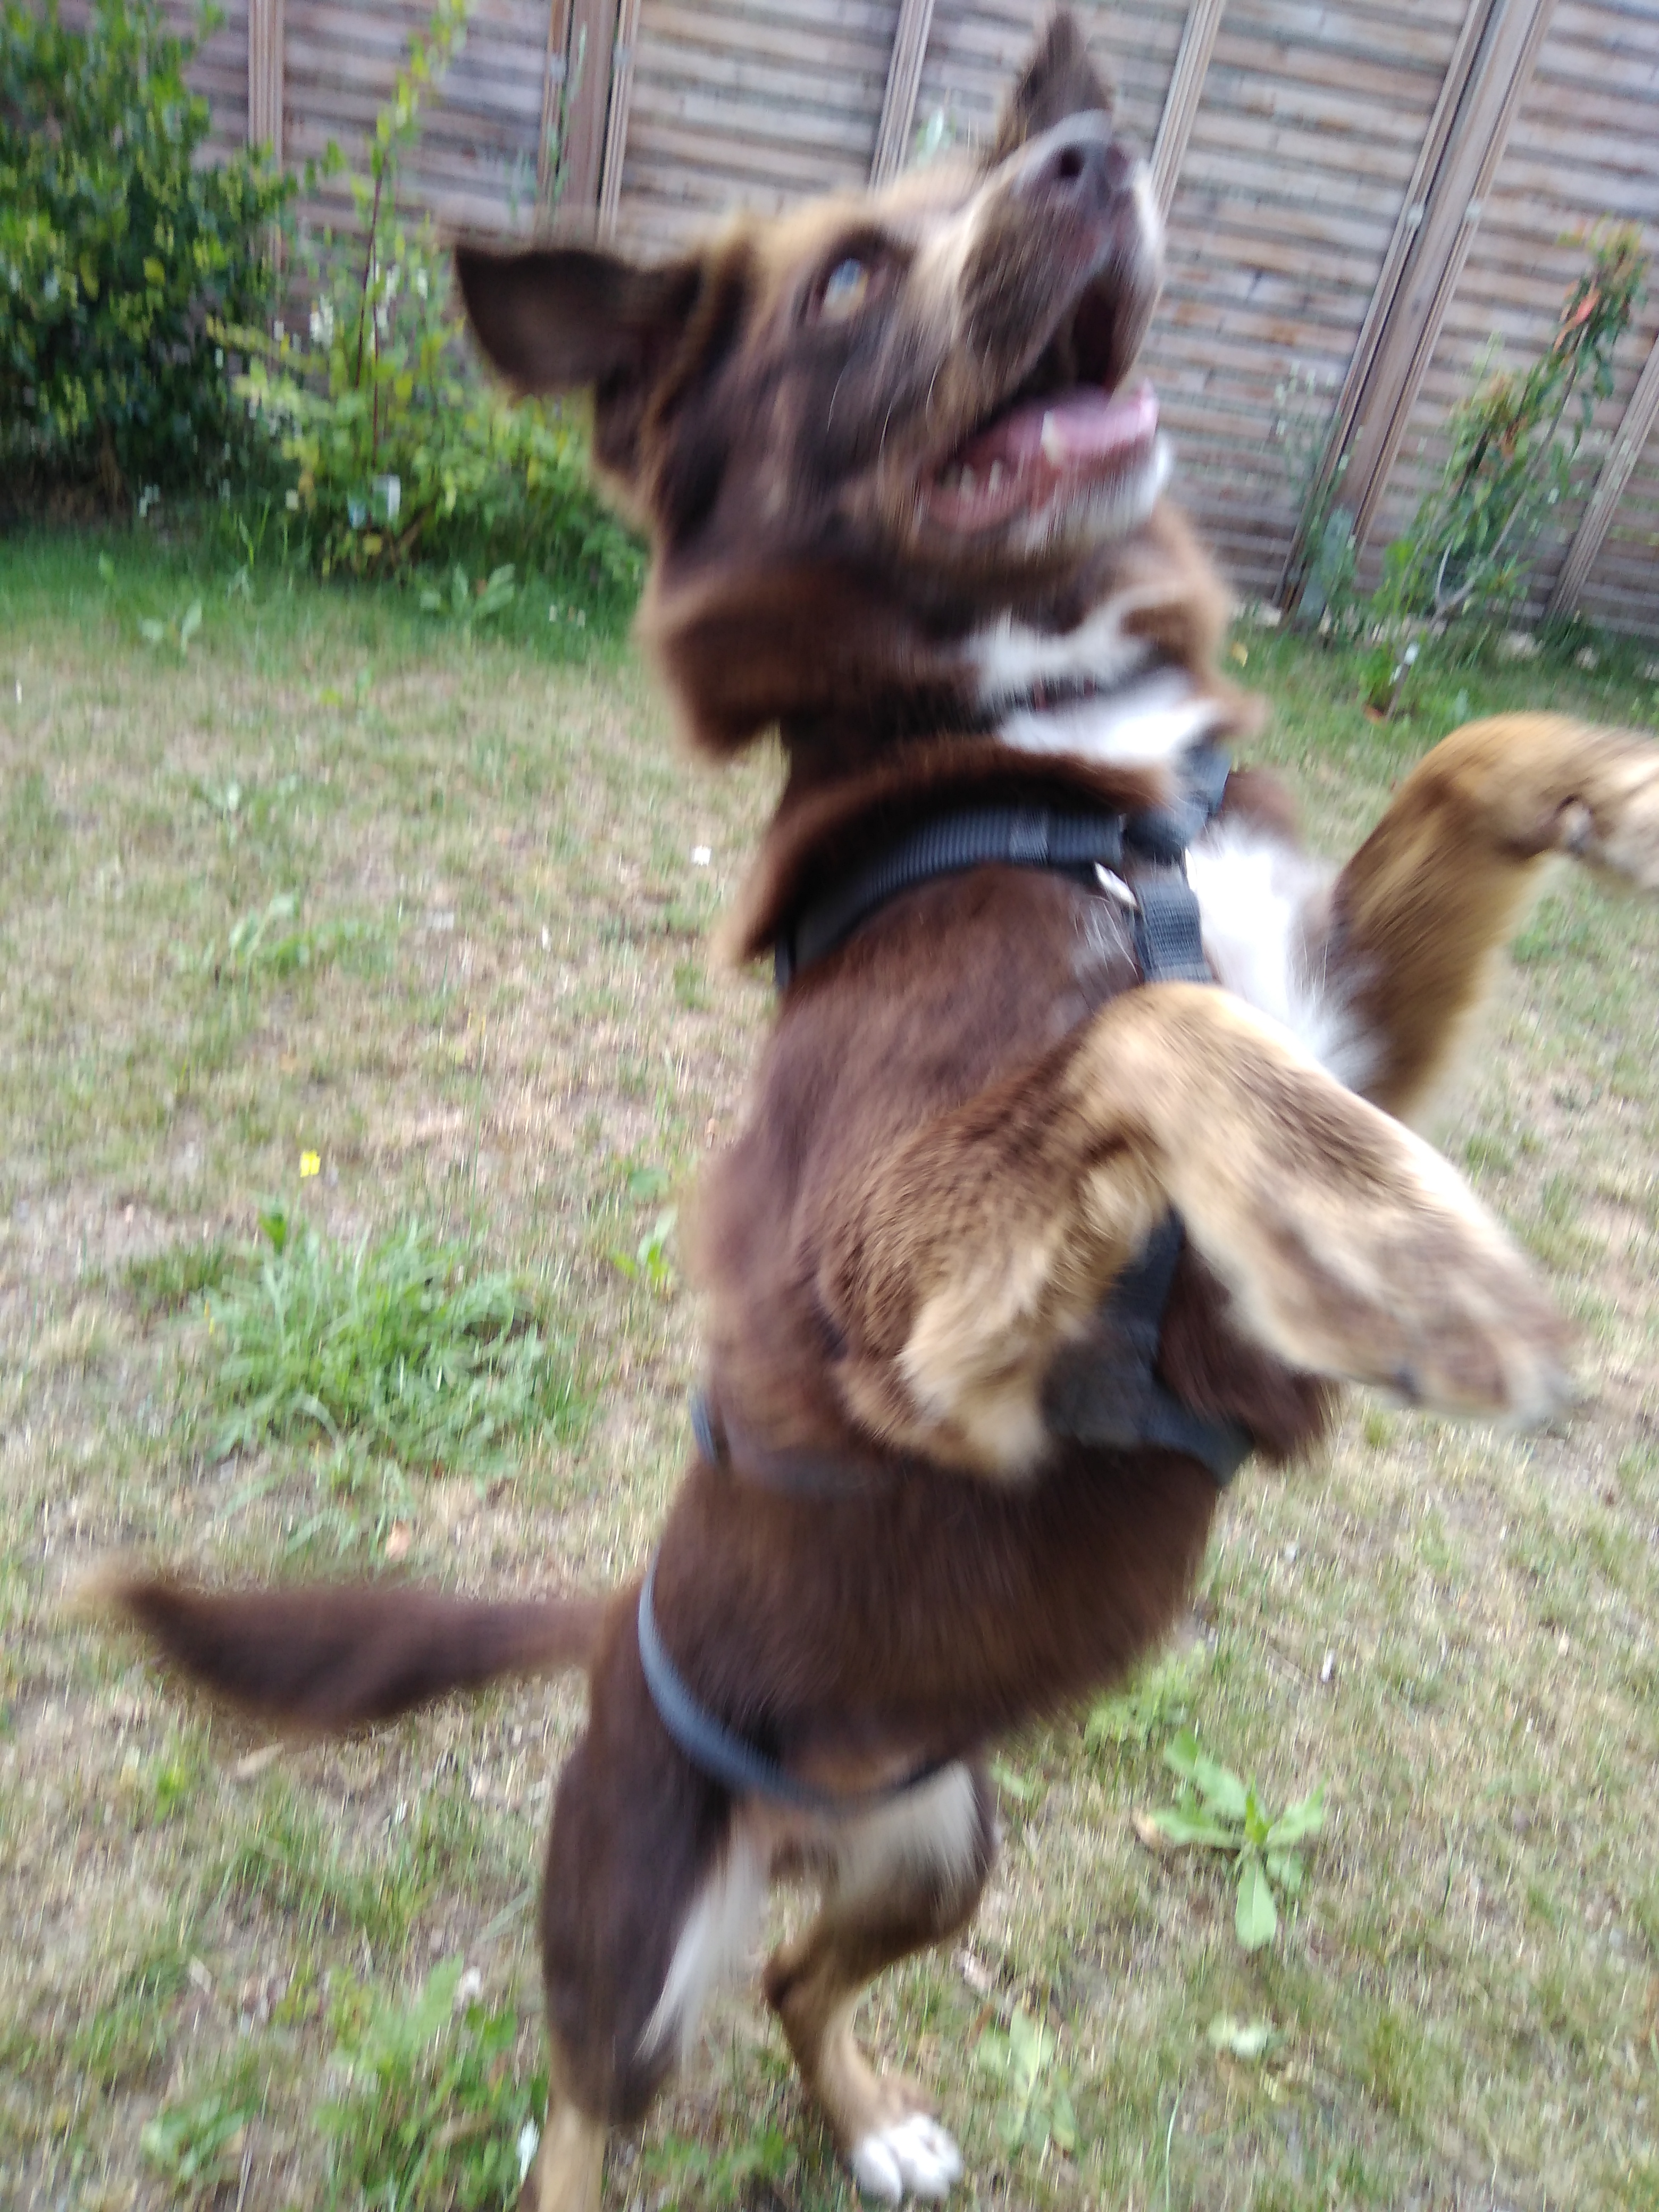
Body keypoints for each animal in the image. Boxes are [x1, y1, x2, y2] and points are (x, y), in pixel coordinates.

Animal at [101, 12, 1659, 2207]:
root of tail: (613, 1637)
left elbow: (1454, 763)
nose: (1096, 160)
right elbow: (1144, 1039)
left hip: (942, 1841)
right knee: (584, 2096)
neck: (1040, 749)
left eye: (1019, 162)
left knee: (797, 1984)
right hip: (633, 1921)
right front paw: (1406, 1257)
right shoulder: (911, 1326)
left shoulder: (1339, 1005)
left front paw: (1620, 786)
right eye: (846, 276)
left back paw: (876, 2122)